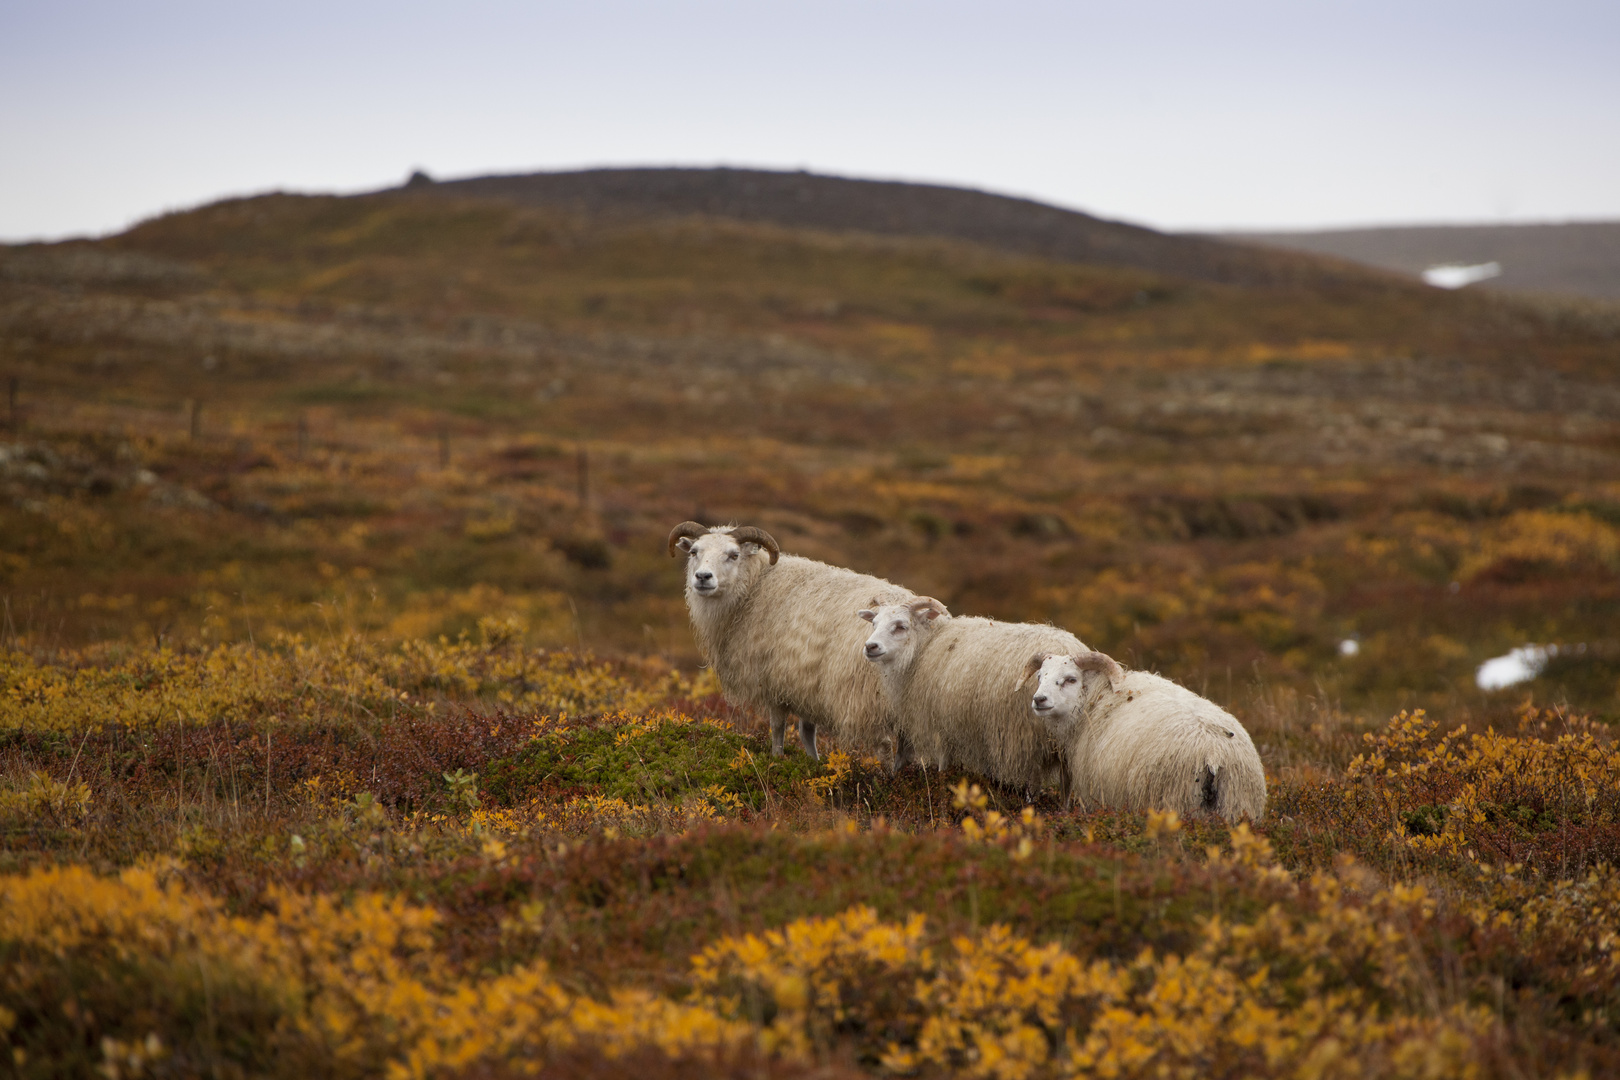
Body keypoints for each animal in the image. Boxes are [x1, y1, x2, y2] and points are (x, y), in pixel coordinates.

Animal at [664, 521, 913, 761]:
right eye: (694, 551)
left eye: (733, 555)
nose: (703, 577)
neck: (754, 587)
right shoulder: (805, 683)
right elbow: (807, 733)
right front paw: (813, 763)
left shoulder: (773, 681)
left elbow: (778, 727)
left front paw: (777, 758)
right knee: (905, 750)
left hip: (866, 699)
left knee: (884, 746)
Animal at [1023, 654, 1263, 822]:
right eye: (1040, 677)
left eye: (1071, 679)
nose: (1039, 699)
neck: (1096, 698)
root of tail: (1214, 755)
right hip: (1237, 806)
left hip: (1175, 803)